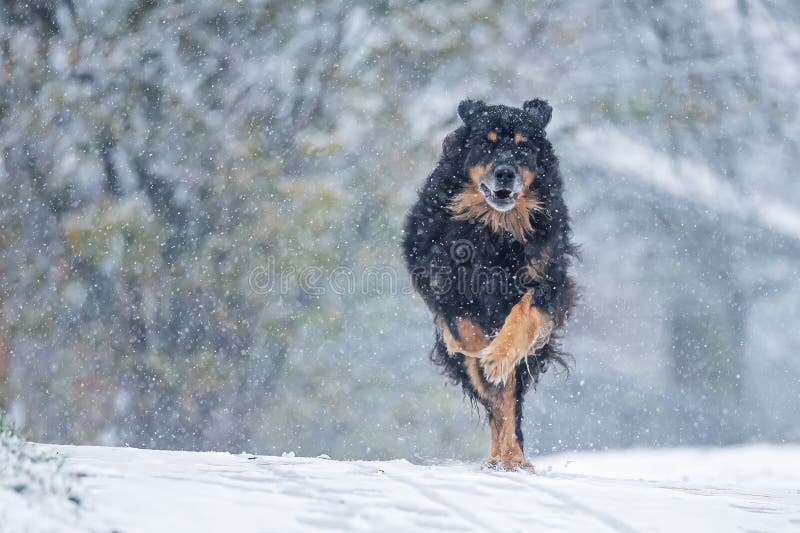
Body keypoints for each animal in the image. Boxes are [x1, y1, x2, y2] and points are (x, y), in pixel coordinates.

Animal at [406, 97, 576, 468]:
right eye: (487, 143)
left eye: (523, 147)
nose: (504, 173)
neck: (494, 229)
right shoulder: (440, 279)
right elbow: (464, 328)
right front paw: (479, 347)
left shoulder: (547, 283)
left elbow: (521, 317)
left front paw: (496, 354)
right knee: (494, 399)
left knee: (508, 400)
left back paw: (512, 457)